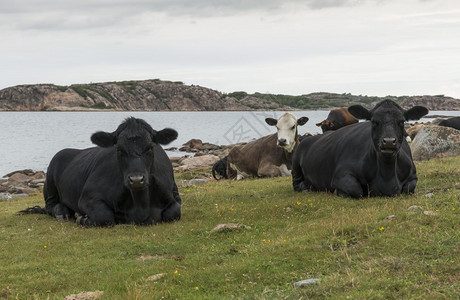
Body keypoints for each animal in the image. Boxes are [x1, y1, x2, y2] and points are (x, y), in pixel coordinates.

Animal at [20, 118, 181, 226]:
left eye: (150, 147)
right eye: (119, 149)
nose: (136, 179)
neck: (141, 206)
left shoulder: (174, 194)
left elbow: (174, 212)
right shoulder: (88, 197)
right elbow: (104, 216)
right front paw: (82, 218)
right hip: (50, 185)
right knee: (50, 206)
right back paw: (63, 212)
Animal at [292, 101, 430, 198]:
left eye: (401, 121)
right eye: (374, 122)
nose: (389, 141)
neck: (387, 177)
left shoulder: (413, 176)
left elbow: (408, 189)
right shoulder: (340, 175)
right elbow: (356, 190)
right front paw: (339, 192)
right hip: (295, 165)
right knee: (296, 184)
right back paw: (306, 186)